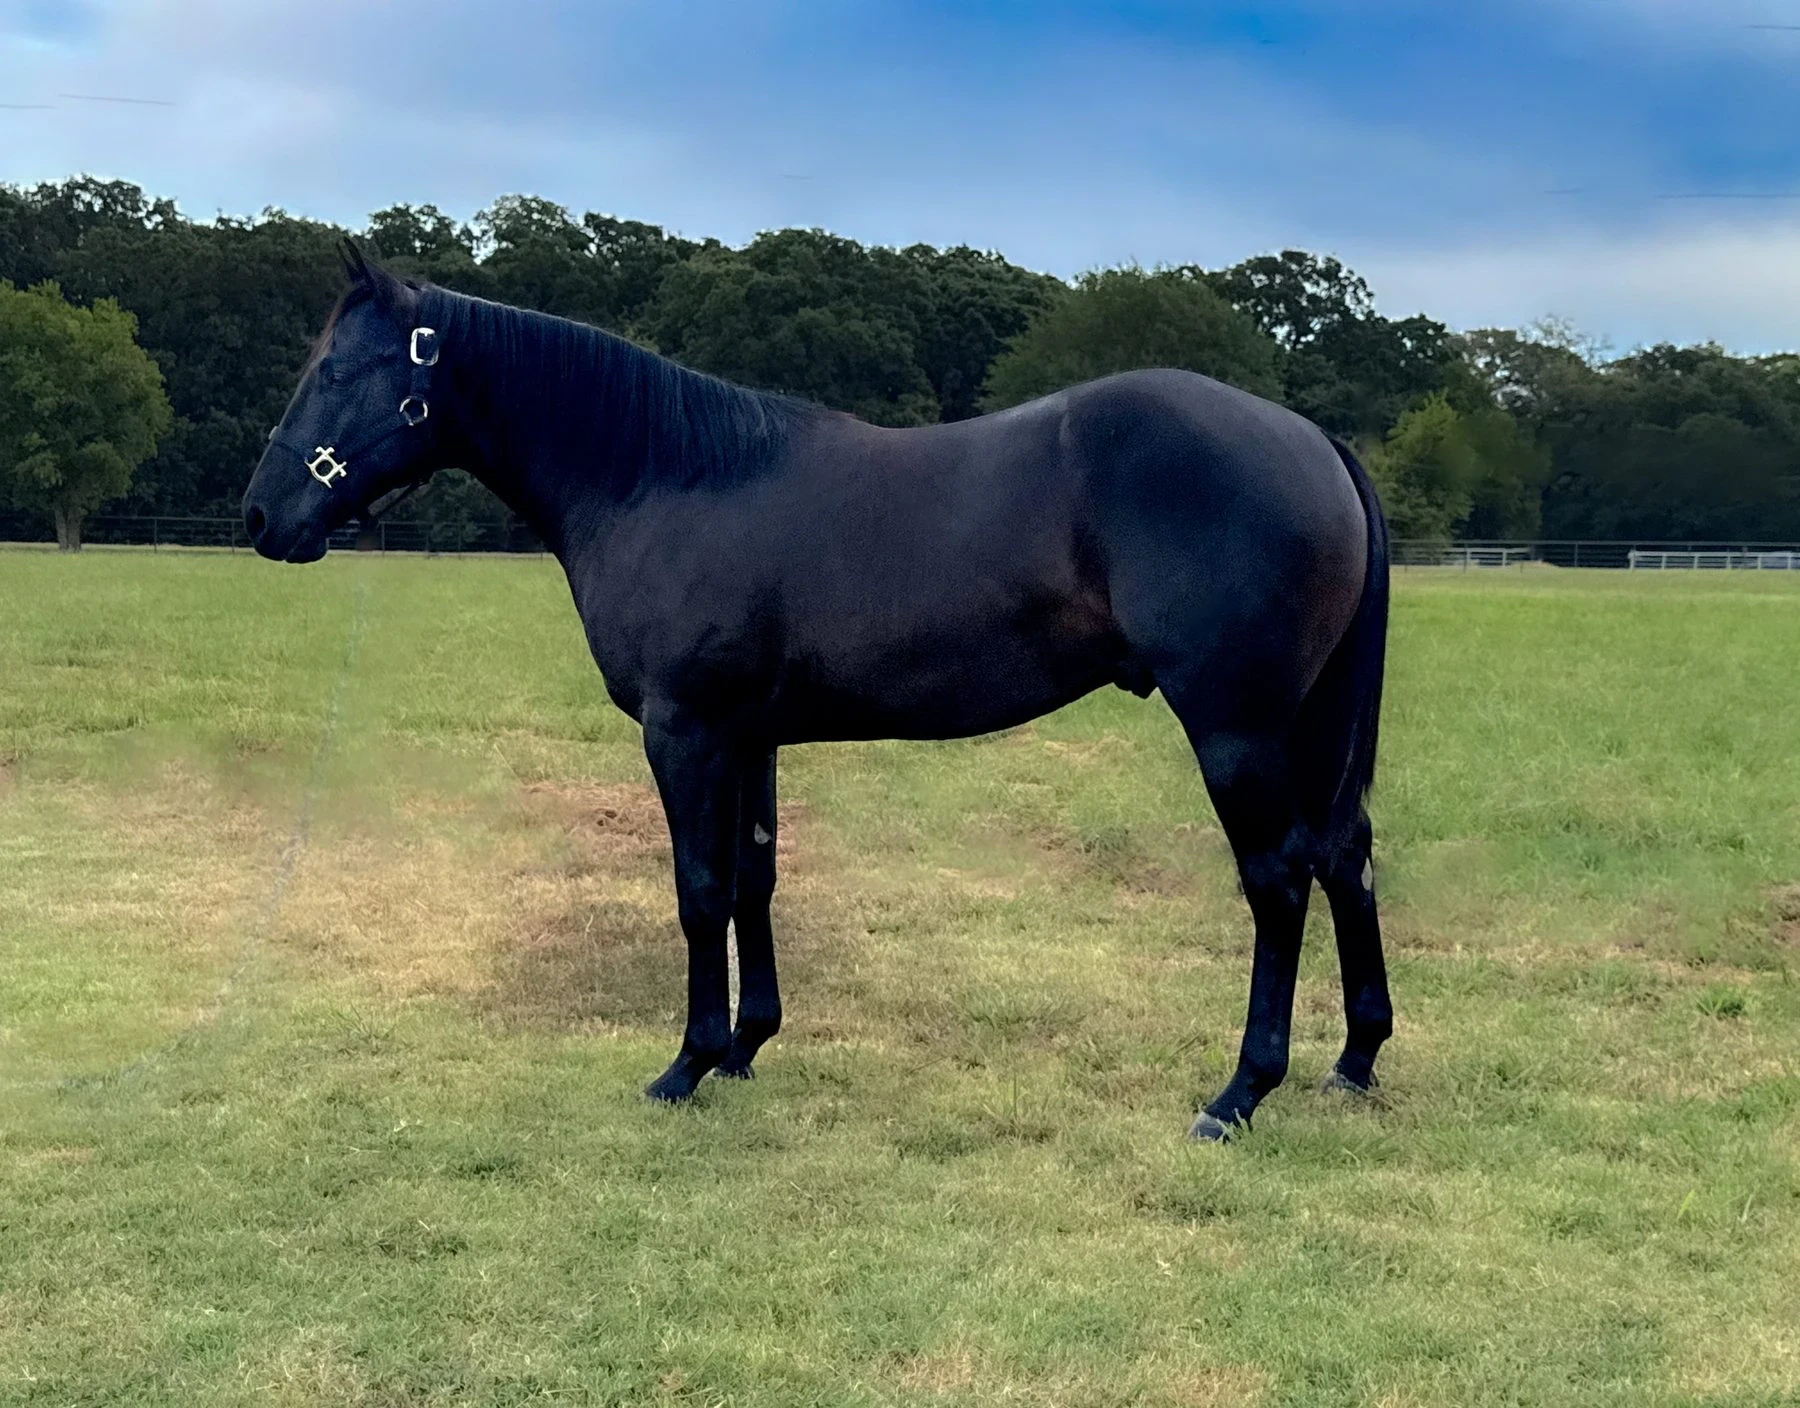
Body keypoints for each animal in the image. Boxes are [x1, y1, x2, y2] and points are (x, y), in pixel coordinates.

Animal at [242, 243, 1394, 1140]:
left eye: (340, 367)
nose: (260, 516)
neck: (665, 476)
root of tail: (1311, 439)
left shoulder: (684, 732)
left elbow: (699, 889)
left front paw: (686, 1064)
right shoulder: (748, 738)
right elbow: (754, 880)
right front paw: (748, 1046)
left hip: (1238, 728)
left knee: (1280, 880)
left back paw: (1240, 1093)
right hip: (1304, 727)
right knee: (1345, 857)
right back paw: (1355, 1060)